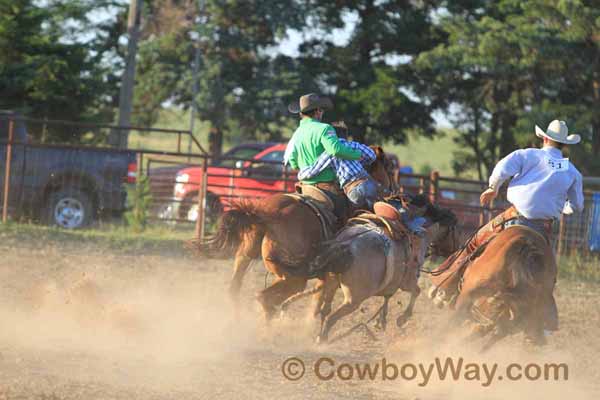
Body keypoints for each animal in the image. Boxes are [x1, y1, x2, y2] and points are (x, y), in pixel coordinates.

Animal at [195, 146, 396, 318]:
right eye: (388, 166)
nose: (393, 190)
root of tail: (265, 214)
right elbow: (320, 298)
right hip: (294, 277)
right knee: (265, 298)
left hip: (246, 256)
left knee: (236, 289)